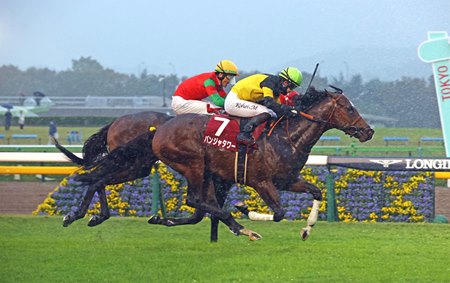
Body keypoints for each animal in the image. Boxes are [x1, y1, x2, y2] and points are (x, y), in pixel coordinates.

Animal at [61, 86, 374, 242]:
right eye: (349, 108)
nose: (368, 131)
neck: (286, 136)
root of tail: (159, 128)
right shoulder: (261, 181)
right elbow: (279, 212)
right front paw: (245, 210)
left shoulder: (287, 180)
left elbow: (317, 192)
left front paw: (306, 230)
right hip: (192, 164)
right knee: (193, 200)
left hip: (141, 164)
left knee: (99, 178)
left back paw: (89, 215)